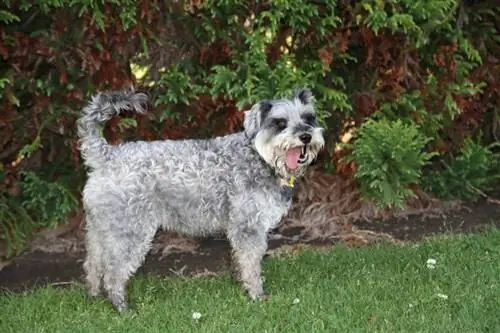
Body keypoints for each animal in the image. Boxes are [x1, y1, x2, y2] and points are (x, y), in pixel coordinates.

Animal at [74, 87, 324, 310]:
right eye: (280, 122)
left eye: (308, 118)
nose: (306, 136)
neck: (260, 157)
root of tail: (107, 156)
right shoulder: (249, 227)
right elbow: (252, 264)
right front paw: (256, 294)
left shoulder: (240, 229)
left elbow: (240, 259)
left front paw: (240, 282)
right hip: (131, 233)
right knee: (113, 273)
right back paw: (122, 307)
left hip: (100, 230)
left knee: (93, 265)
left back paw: (94, 296)